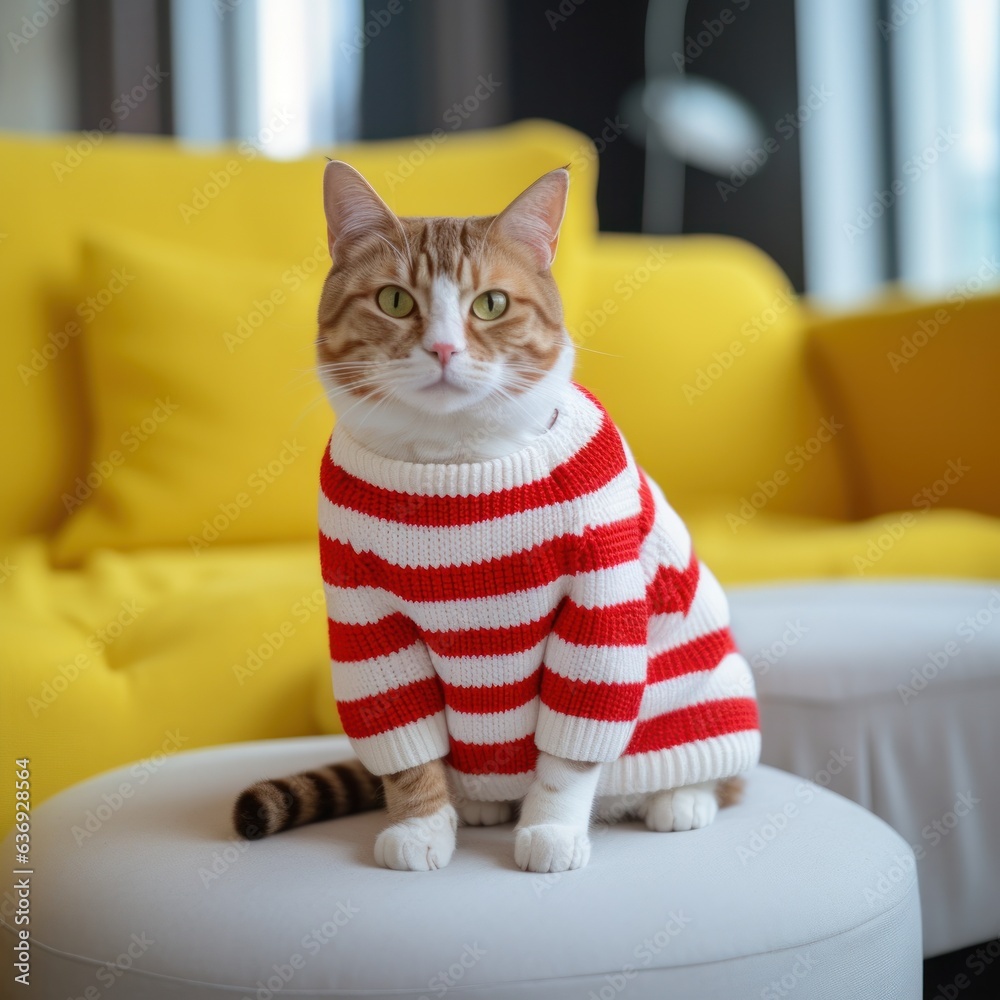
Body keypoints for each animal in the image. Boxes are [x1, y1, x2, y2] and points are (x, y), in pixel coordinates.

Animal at [234, 160, 756, 872]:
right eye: (394, 300)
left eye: (491, 304)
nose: (443, 350)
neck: (455, 464)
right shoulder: (367, 615)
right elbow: (405, 745)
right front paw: (423, 826)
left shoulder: (598, 601)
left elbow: (569, 746)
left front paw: (552, 829)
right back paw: (480, 804)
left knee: (721, 776)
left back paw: (681, 798)